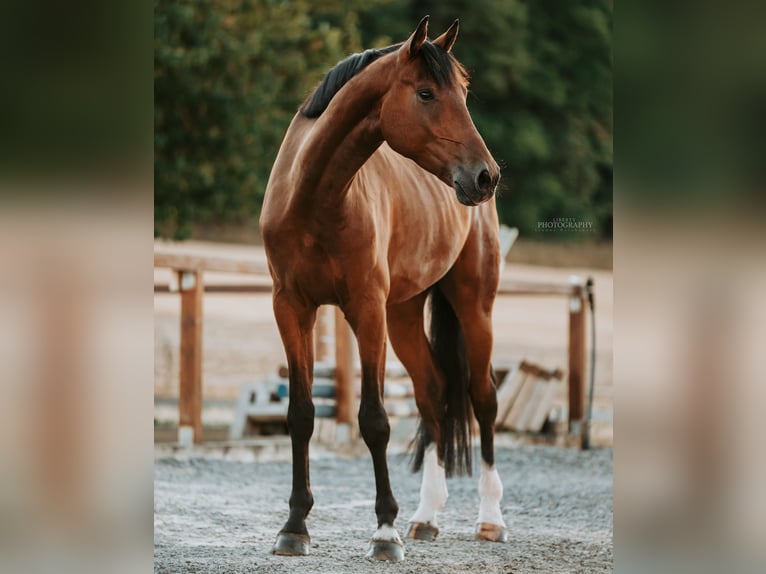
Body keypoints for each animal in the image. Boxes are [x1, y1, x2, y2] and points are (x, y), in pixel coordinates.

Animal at [260, 16, 506, 561]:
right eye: (426, 93)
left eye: (463, 93)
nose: (486, 175)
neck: (316, 198)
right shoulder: (291, 308)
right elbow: (301, 414)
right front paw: (294, 526)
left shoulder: (365, 309)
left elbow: (373, 419)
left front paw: (384, 532)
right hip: (404, 315)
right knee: (434, 393)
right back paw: (426, 518)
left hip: (474, 308)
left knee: (482, 399)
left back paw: (490, 520)